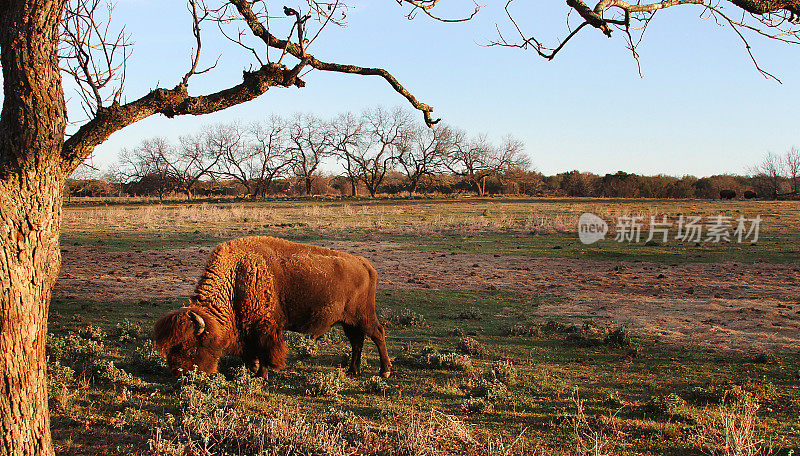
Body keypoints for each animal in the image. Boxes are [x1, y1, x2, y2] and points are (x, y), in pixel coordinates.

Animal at [153, 237, 390, 380]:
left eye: (189, 347)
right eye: (170, 348)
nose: (180, 374)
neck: (236, 277)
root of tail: (364, 264)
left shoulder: (263, 327)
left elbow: (265, 350)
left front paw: (261, 374)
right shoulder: (247, 328)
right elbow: (251, 352)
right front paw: (253, 370)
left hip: (363, 316)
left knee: (377, 334)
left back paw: (384, 371)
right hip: (348, 321)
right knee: (357, 342)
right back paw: (352, 371)